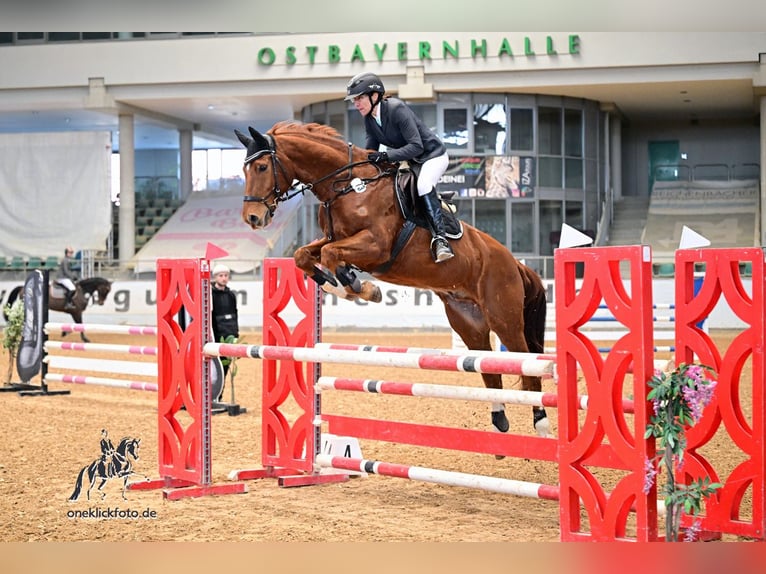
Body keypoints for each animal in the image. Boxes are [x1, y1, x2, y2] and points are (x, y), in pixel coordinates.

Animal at [235, 121, 550, 440]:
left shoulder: (376, 245)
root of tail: (514, 263)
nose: (252, 218)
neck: (347, 185)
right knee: (487, 366)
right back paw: (499, 421)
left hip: (504, 317)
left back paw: (541, 423)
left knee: (527, 364)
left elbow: (330, 254)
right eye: (244, 170)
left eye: (262, 167)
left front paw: (361, 287)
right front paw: (343, 285)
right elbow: (305, 255)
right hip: (468, 322)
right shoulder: (334, 239)